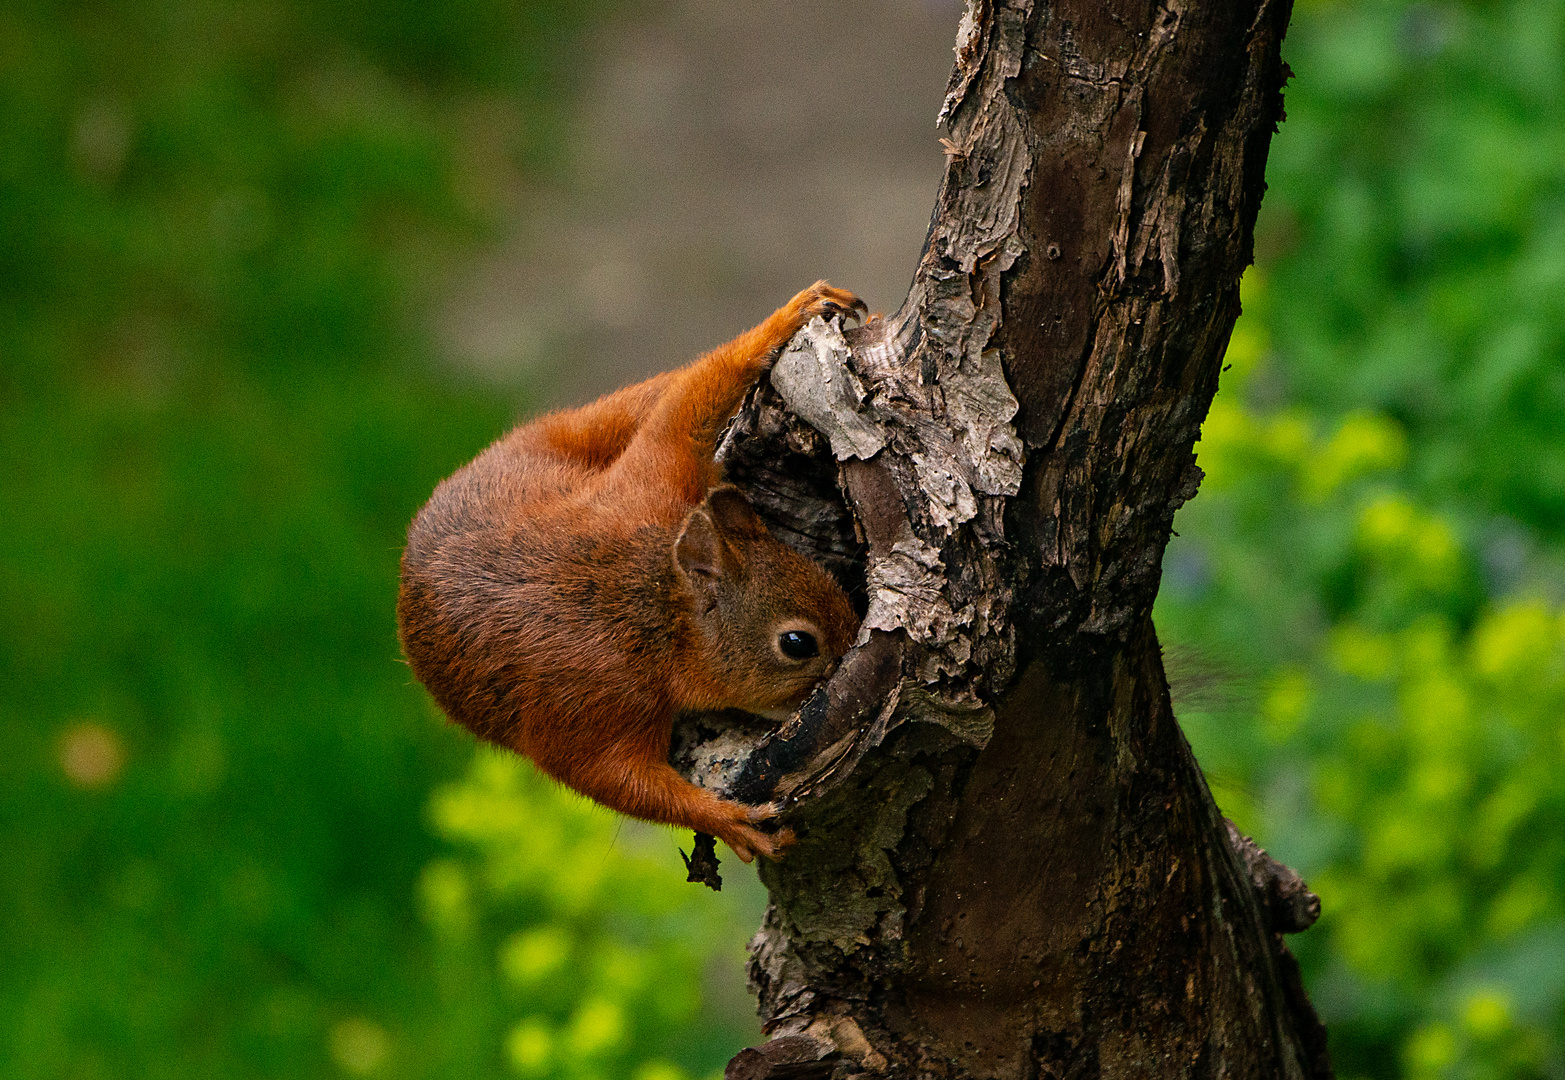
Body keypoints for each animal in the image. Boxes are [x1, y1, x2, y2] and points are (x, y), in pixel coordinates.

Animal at [400, 280, 870, 857]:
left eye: (826, 578)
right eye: (798, 644)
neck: (652, 597)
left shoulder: (656, 486)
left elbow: (680, 421)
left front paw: (791, 316)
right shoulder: (593, 697)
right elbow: (613, 778)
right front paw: (730, 821)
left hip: (585, 433)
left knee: (660, 398)